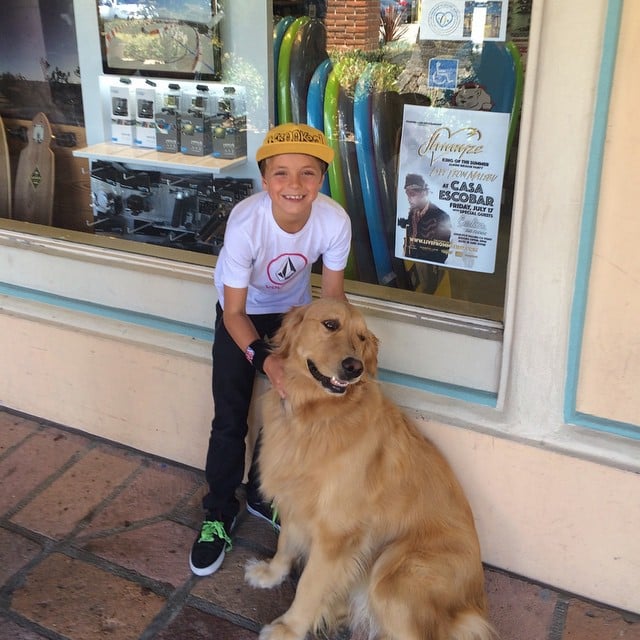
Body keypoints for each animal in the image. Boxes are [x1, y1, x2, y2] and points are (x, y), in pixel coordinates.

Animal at [245, 300, 496, 640]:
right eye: (330, 324)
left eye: (361, 338)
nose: (355, 367)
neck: (315, 417)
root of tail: (473, 606)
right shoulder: (295, 499)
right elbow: (285, 543)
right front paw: (272, 573)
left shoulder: (336, 533)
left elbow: (309, 586)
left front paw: (289, 628)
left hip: (392, 575)